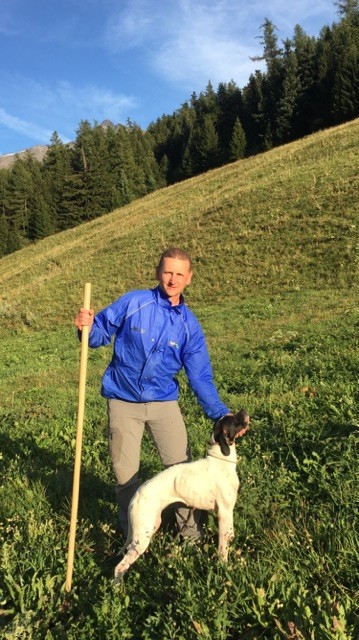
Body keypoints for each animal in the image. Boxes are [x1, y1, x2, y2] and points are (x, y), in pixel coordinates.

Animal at [115, 408, 250, 584]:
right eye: (234, 420)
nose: (243, 411)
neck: (221, 460)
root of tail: (136, 495)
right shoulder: (224, 513)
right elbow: (223, 545)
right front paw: (224, 567)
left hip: (150, 526)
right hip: (141, 538)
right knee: (120, 566)